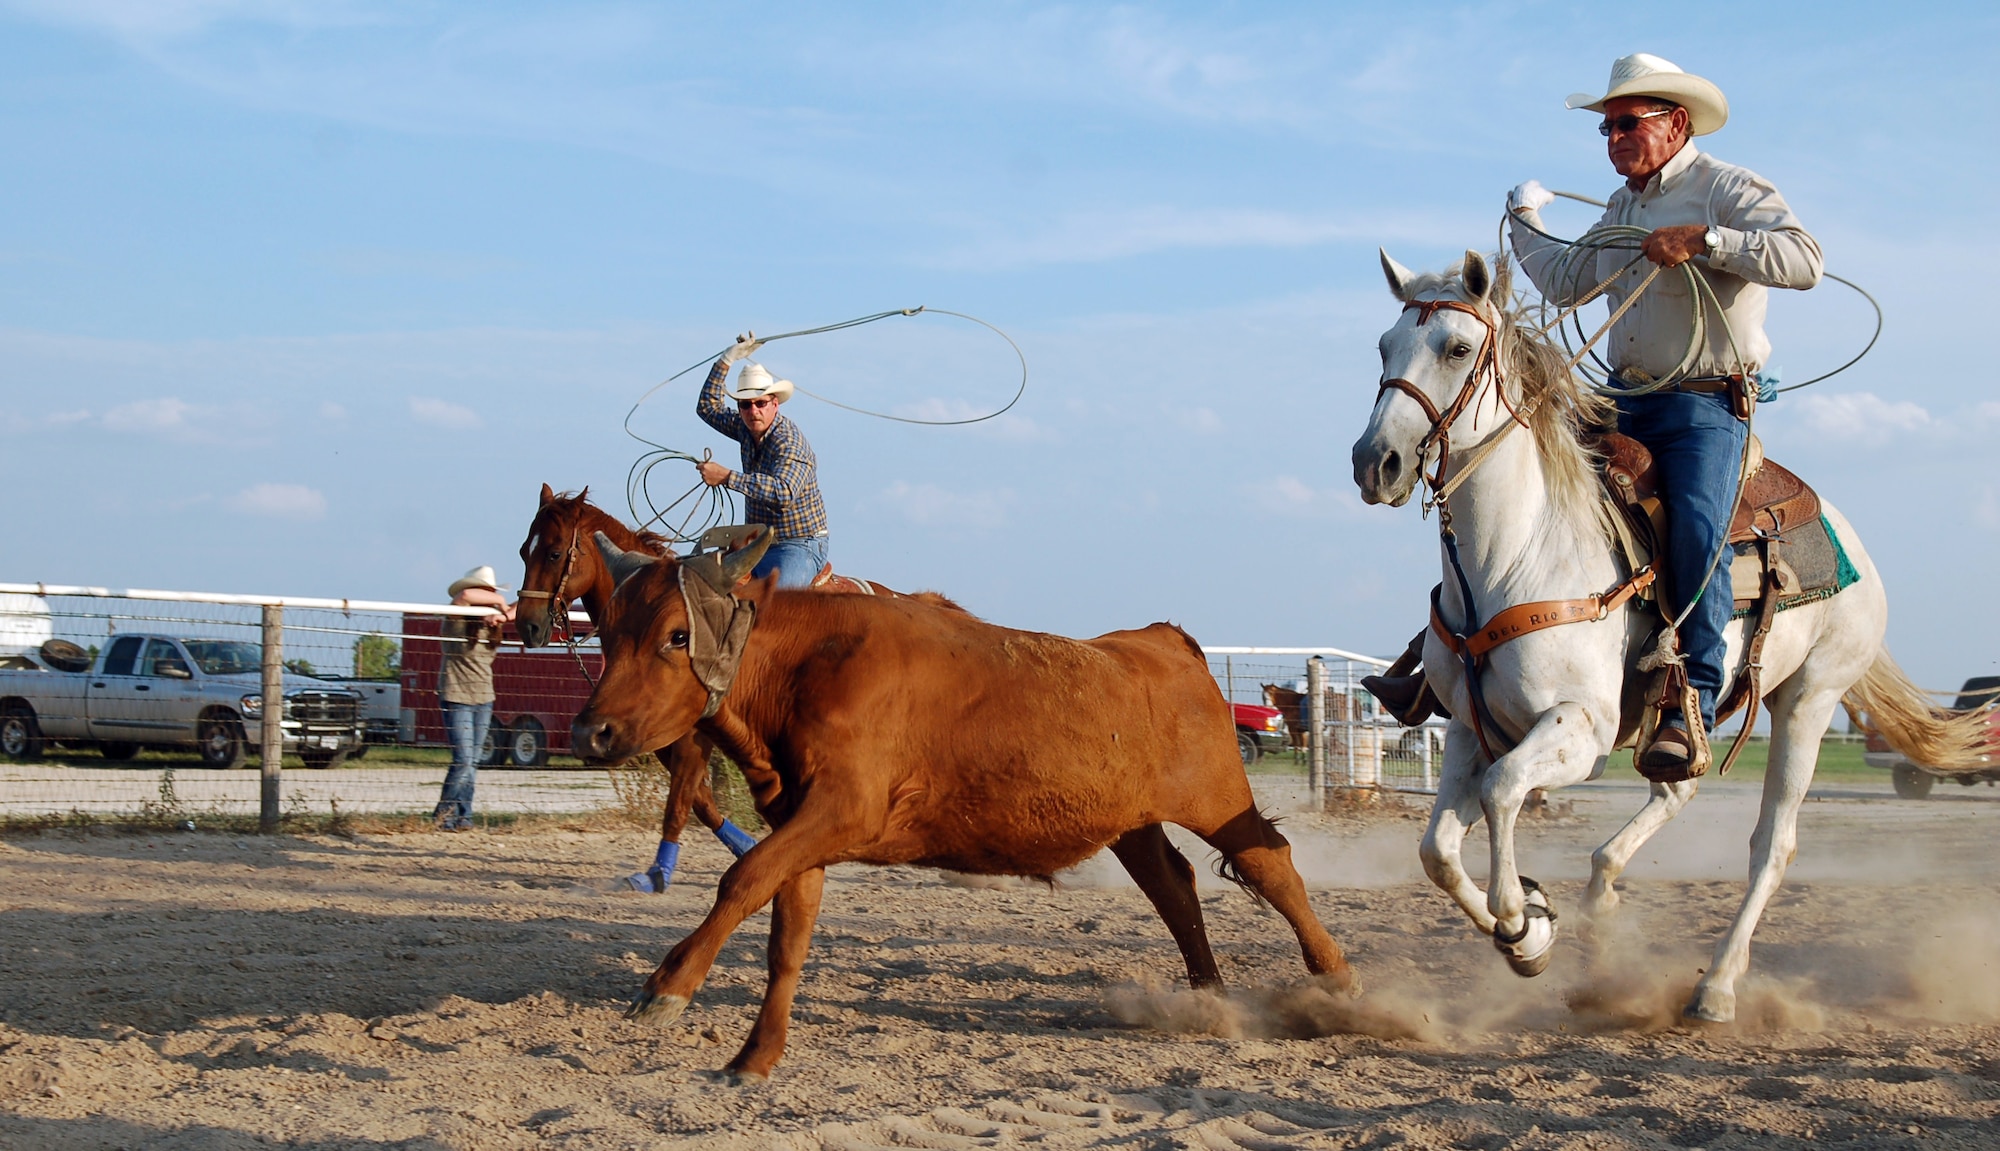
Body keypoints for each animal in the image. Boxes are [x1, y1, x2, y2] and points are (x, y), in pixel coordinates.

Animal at [580, 531, 1360, 1079]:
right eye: (609, 632)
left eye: (677, 635)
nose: (593, 729)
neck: (810, 661)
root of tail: (1163, 641)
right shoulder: (801, 827)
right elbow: (785, 933)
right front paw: (756, 1056)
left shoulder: (844, 810)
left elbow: (740, 879)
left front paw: (668, 985)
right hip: (1127, 822)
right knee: (1174, 886)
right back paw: (1208, 998)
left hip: (1217, 798)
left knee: (1271, 866)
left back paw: (1337, 981)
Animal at [1352, 247, 1992, 1019]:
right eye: (1385, 346)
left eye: (1456, 347)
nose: (1375, 461)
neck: (1519, 551)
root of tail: (1851, 542)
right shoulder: (1473, 731)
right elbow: (1438, 851)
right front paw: (1535, 926)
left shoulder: (1582, 730)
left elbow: (1504, 793)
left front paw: (1523, 923)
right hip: (1686, 718)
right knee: (1675, 784)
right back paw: (1603, 900)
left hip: (1809, 700)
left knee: (1772, 844)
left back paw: (1715, 986)